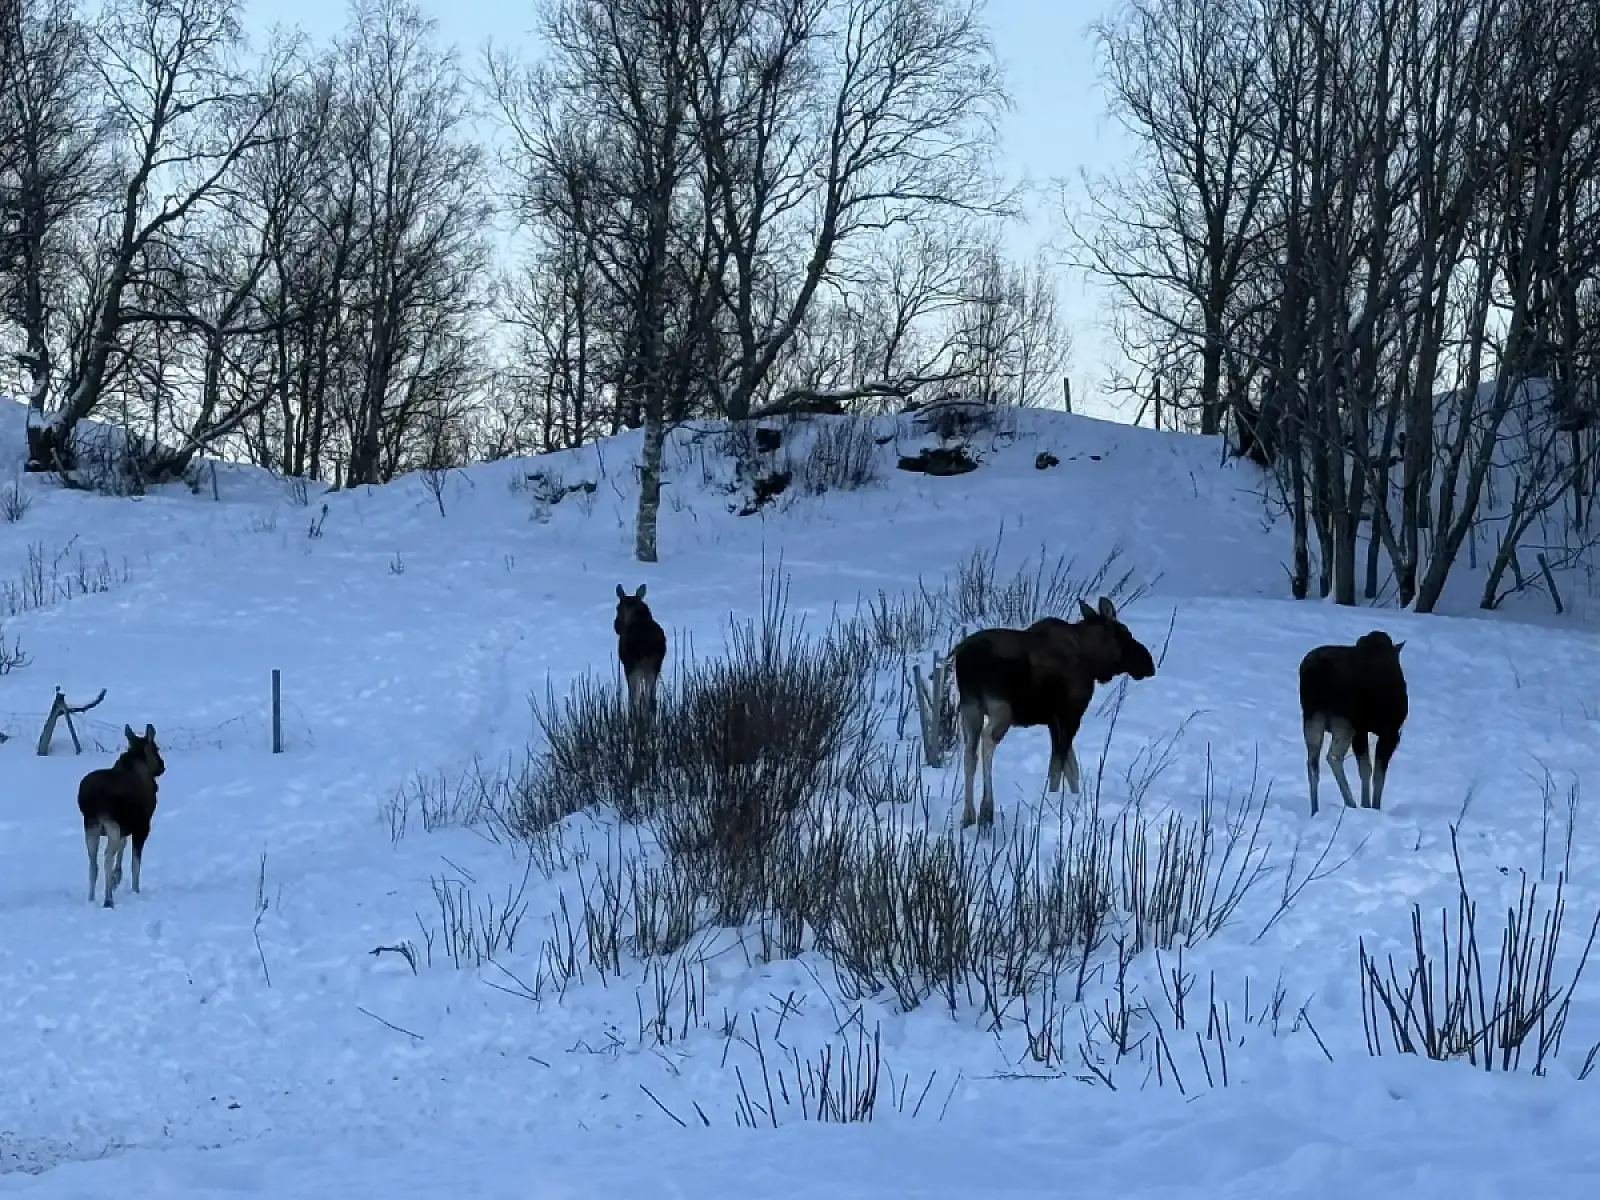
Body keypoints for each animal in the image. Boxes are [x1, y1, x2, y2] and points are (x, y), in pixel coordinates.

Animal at [79, 723, 165, 908]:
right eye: (156, 749)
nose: (162, 766)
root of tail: (90, 797)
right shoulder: (142, 827)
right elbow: (135, 864)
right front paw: (135, 890)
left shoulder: (126, 827)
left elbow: (122, 849)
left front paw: (116, 878)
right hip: (110, 825)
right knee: (106, 858)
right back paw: (108, 900)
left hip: (91, 825)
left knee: (93, 864)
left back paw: (91, 898)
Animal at [952, 596, 1157, 829]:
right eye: (1126, 634)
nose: (1149, 663)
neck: (1092, 660)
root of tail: (963, 658)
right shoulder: (1070, 715)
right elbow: (1058, 768)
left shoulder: (1053, 721)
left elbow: (1071, 768)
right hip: (1002, 709)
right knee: (986, 742)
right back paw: (986, 810)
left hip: (970, 707)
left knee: (970, 752)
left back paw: (968, 814)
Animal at [1299, 630, 1408, 816]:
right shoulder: (1390, 731)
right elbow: (1378, 774)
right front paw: (1374, 807)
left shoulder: (1362, 731)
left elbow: (1365, 769)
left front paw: (1367, 805)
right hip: (1343, 721)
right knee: (1333, 756)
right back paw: (1350, 802)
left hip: (1313, 717)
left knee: (1312, 762)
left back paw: (1315, 809)